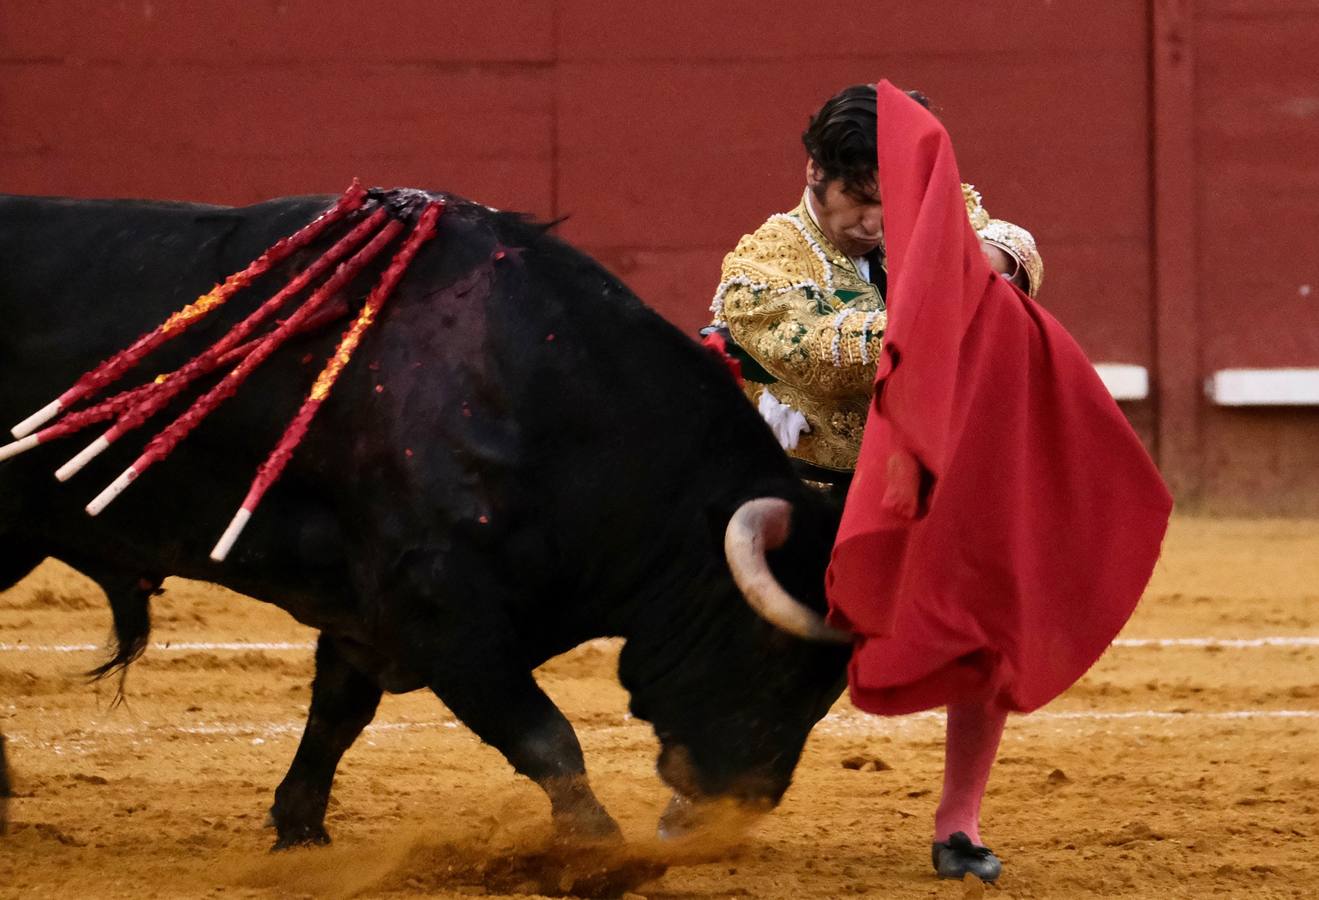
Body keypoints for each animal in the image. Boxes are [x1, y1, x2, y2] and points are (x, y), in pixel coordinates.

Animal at [0, 192, 849, 844]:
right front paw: (598, 853)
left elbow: (337, 716)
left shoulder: (370, 617)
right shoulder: (443, 612)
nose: (741, 804)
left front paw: (300, 831)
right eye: (776, 655)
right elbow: (544, 736)